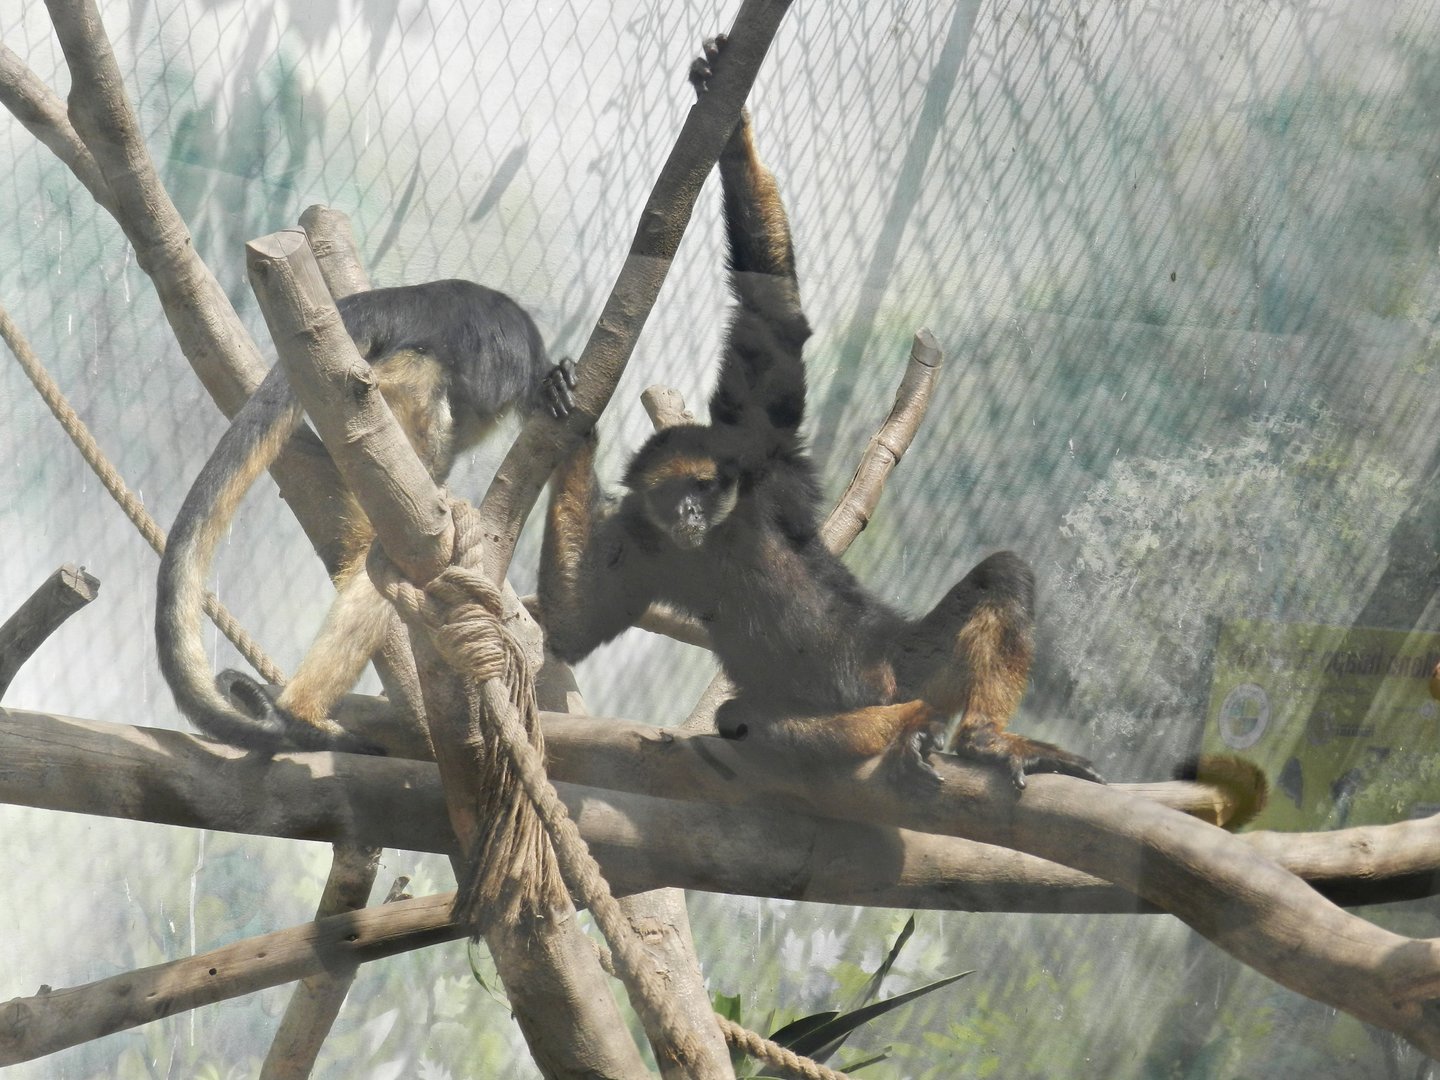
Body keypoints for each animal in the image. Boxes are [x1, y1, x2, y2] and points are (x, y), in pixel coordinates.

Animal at [157, 278, 576, 754]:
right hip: (394, 392)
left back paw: (296, 718)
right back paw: (299, 717)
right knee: (408, 533)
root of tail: (396, 298)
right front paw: (557, 387)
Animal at [537, 37, 1101, 789]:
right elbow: (572, 627)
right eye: (666, 498)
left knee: (1001, 576)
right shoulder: (643, 533)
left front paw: (732, 129)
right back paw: (905, 729)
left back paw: (980, 739)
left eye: (702, 487)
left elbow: (775, 320)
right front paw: (574, 418)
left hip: (899, 656)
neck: (720, 533)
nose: (687, 514)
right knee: (745, 716)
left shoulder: (764, 453)